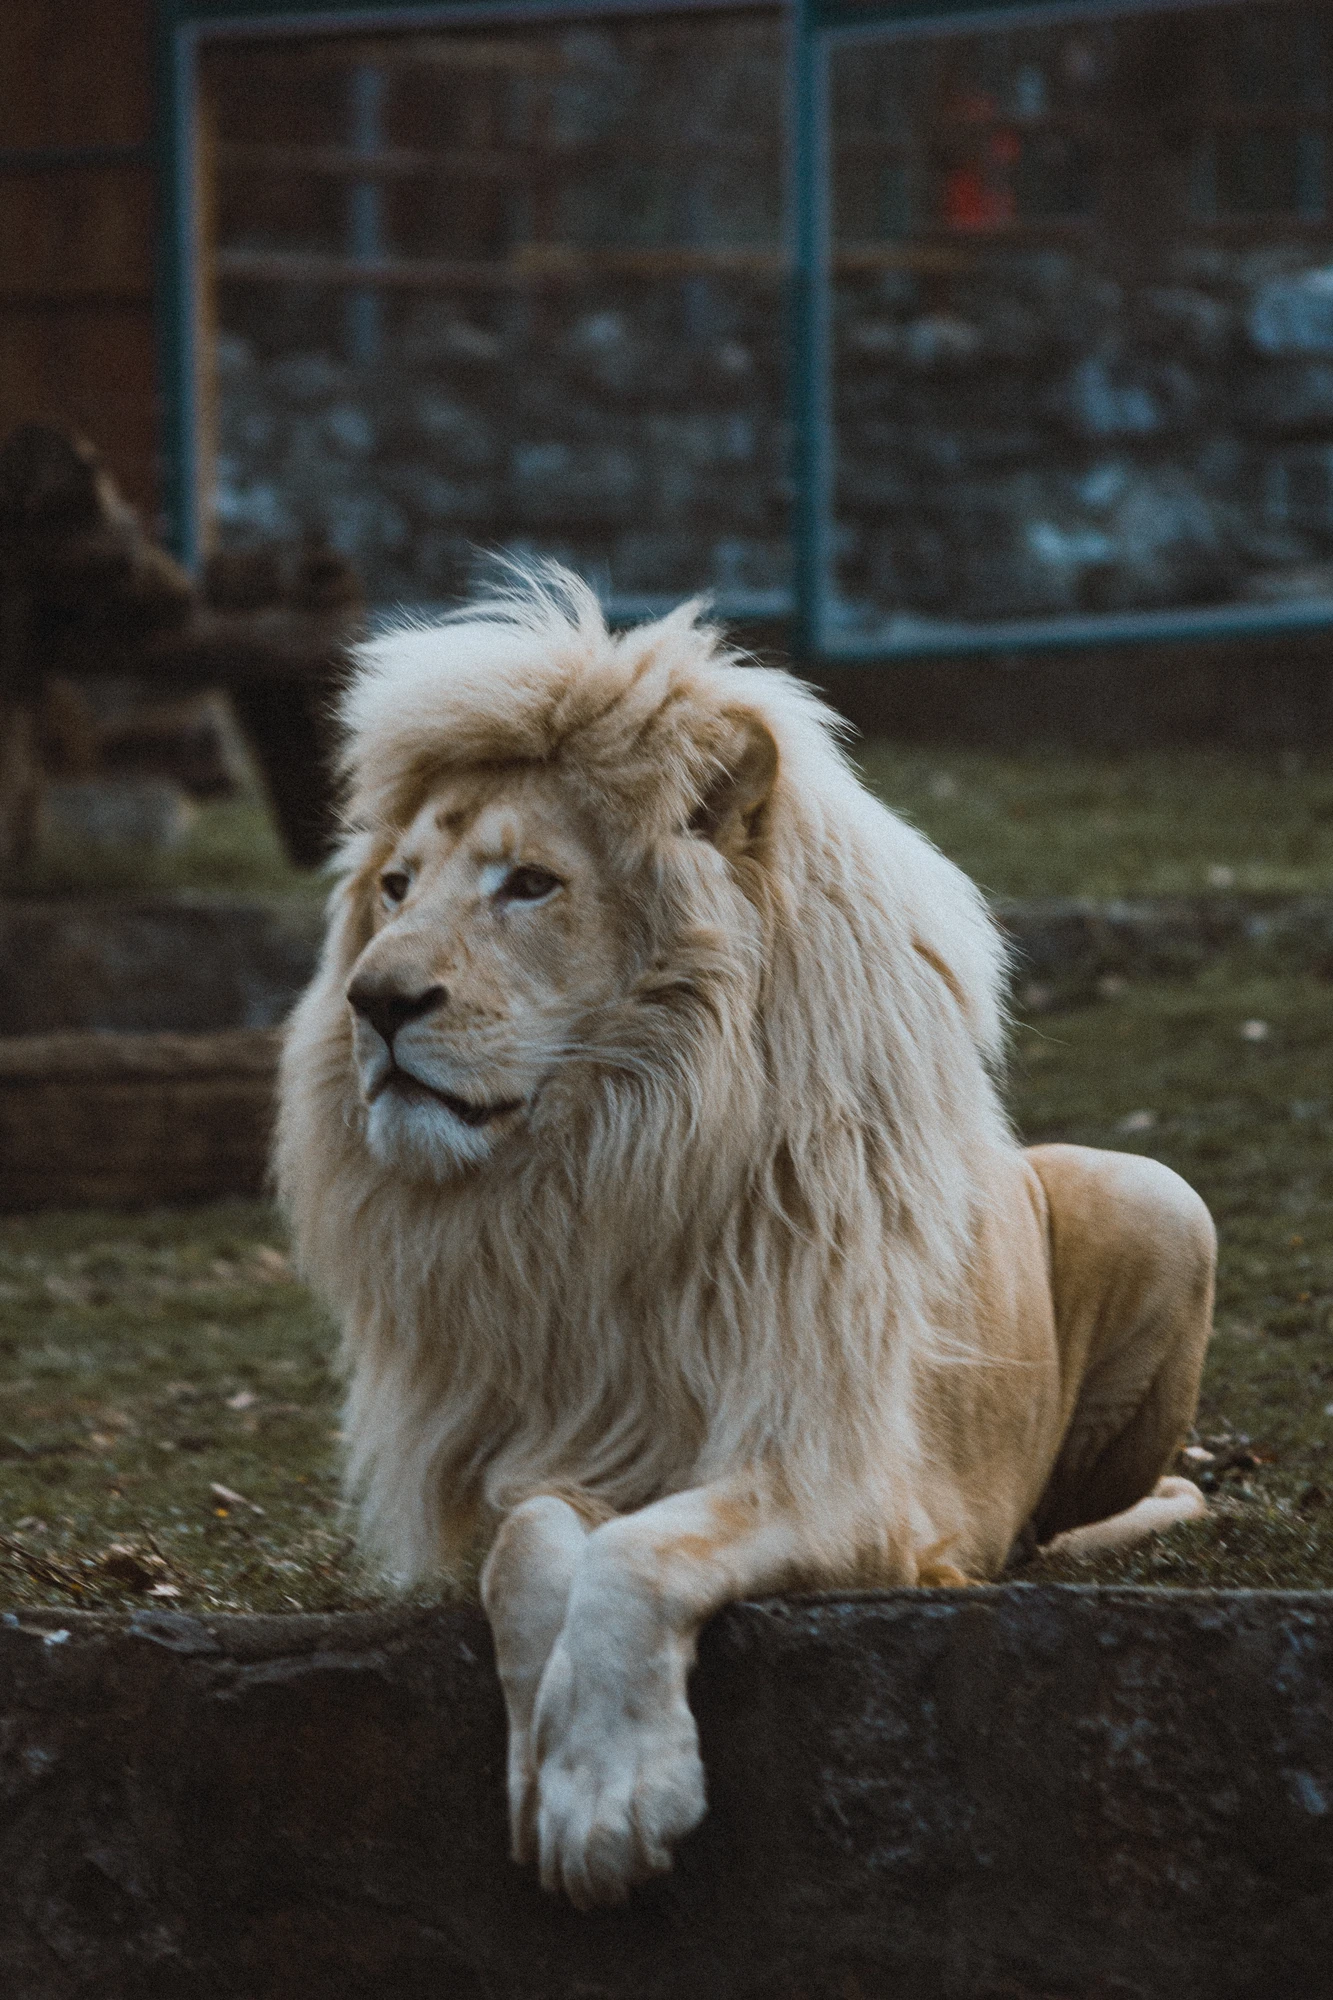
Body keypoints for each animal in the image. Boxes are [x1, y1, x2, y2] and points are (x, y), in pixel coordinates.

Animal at [275, 567, 1214, 1910]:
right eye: (396, 890)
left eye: (530, 884)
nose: (377, 1001)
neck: (608, 1165)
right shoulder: (555, 1437)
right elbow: (531, 1545)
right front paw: (549, 1753)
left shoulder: (841, 1471)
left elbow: (642, 1555)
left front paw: (608, 1795)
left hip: (1158, 1193)